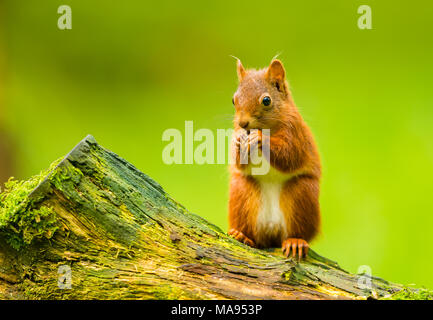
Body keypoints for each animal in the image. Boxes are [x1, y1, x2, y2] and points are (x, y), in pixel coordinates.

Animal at [228, 58, 318, 258]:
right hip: (241, 193)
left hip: (302, 194)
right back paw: (242, 235)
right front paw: (238, 140)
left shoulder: (295, 134)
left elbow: (289, 156)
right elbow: (239, 163)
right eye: (233, 100)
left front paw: (260, 138)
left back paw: (296, 241)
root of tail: (271, 230)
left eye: (266, 100)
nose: (242, 123)